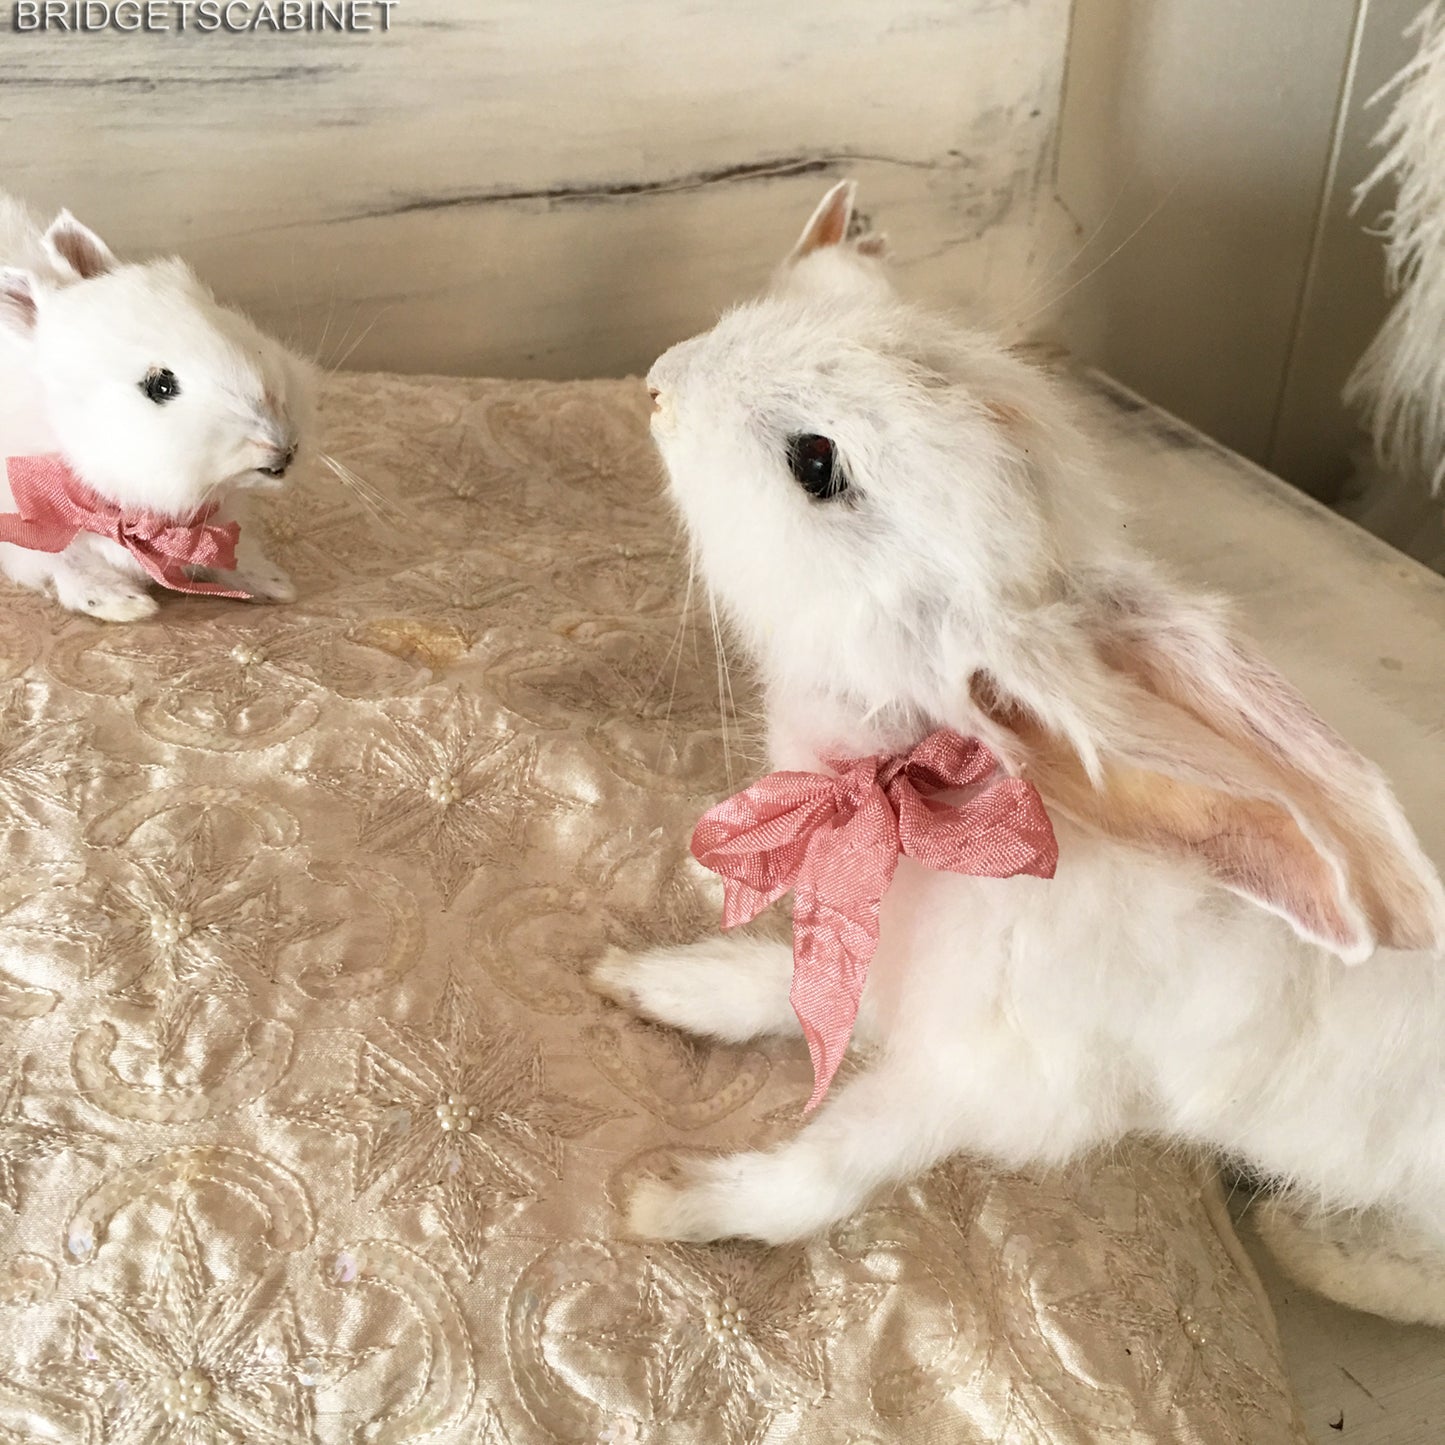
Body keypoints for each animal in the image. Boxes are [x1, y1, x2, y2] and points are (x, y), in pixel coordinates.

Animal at [0, 193, 312, 621]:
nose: (283, 441)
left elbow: (226, 553)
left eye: (224, 317)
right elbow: (69, 567)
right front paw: (123, 604)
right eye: (160, 385)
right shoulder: (31, 532)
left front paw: (273, 583)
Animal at [591, 180, 1445, 1327]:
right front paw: (648, 981)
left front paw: (681, 1202)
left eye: (814, 463)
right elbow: (773, 983)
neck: (925, 807)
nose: (657, 380)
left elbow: (829, 1168)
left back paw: (1303, 1240)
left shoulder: (992, 1085)